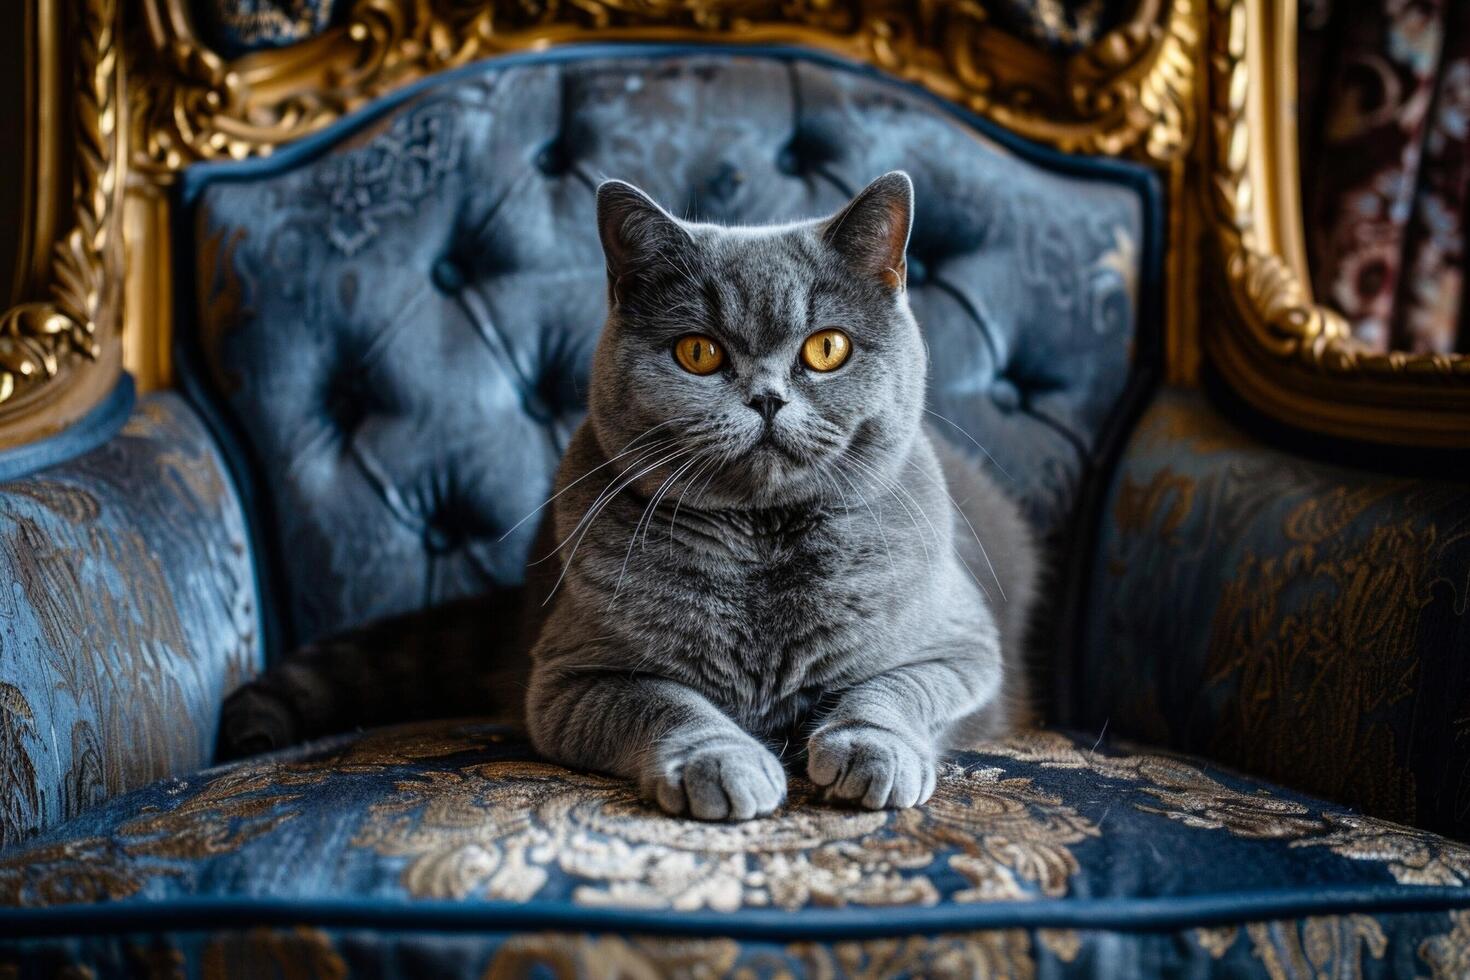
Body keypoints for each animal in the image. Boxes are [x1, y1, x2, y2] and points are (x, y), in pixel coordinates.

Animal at [523, 174, 1040, 822]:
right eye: (699, 352)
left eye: (827, 348)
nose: (767, 398)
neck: (765, 538)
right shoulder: (568, 680)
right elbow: (664, 701)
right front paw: (723, 763)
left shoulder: (964, 651)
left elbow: (895, 688)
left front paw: (873, 752)